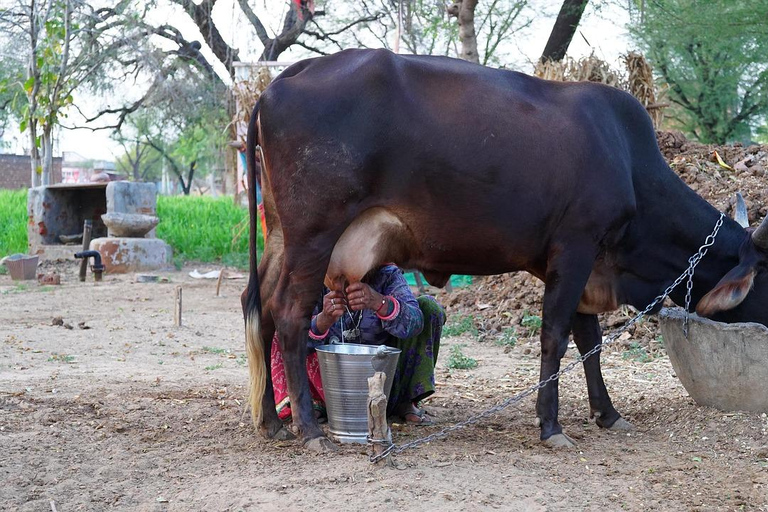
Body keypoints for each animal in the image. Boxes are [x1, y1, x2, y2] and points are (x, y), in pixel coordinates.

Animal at [242, 49, 768, 452]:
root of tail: (286, 77)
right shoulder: (575, 248)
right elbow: (556, 336)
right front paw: (551, 426)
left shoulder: (583, 265)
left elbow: (589, 340)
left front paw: (607, 412)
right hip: (314, 235)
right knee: (288, 315)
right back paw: (309, 429)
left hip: (282, 237)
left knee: (259, 307)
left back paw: (270, 422)